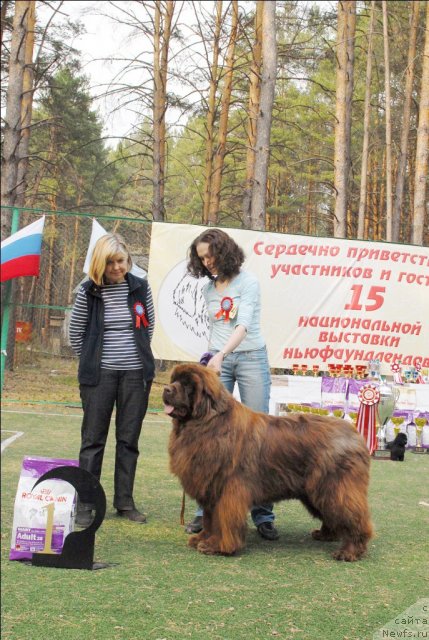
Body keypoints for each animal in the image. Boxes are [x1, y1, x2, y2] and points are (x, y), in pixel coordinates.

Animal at [164, 364, 372, 560]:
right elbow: (209, 519)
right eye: (174, 380)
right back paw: (325, 534)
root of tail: (355, 433)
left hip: (334, 487)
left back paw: (349, 551)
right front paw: (203, 539)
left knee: (353, 516)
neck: (209, 422)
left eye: (187, 385)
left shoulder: (227, 490)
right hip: (316, 492)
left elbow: (222, 520)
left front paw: (217, 546)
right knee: (332, 515)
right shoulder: (210, 490)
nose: (166, 389)